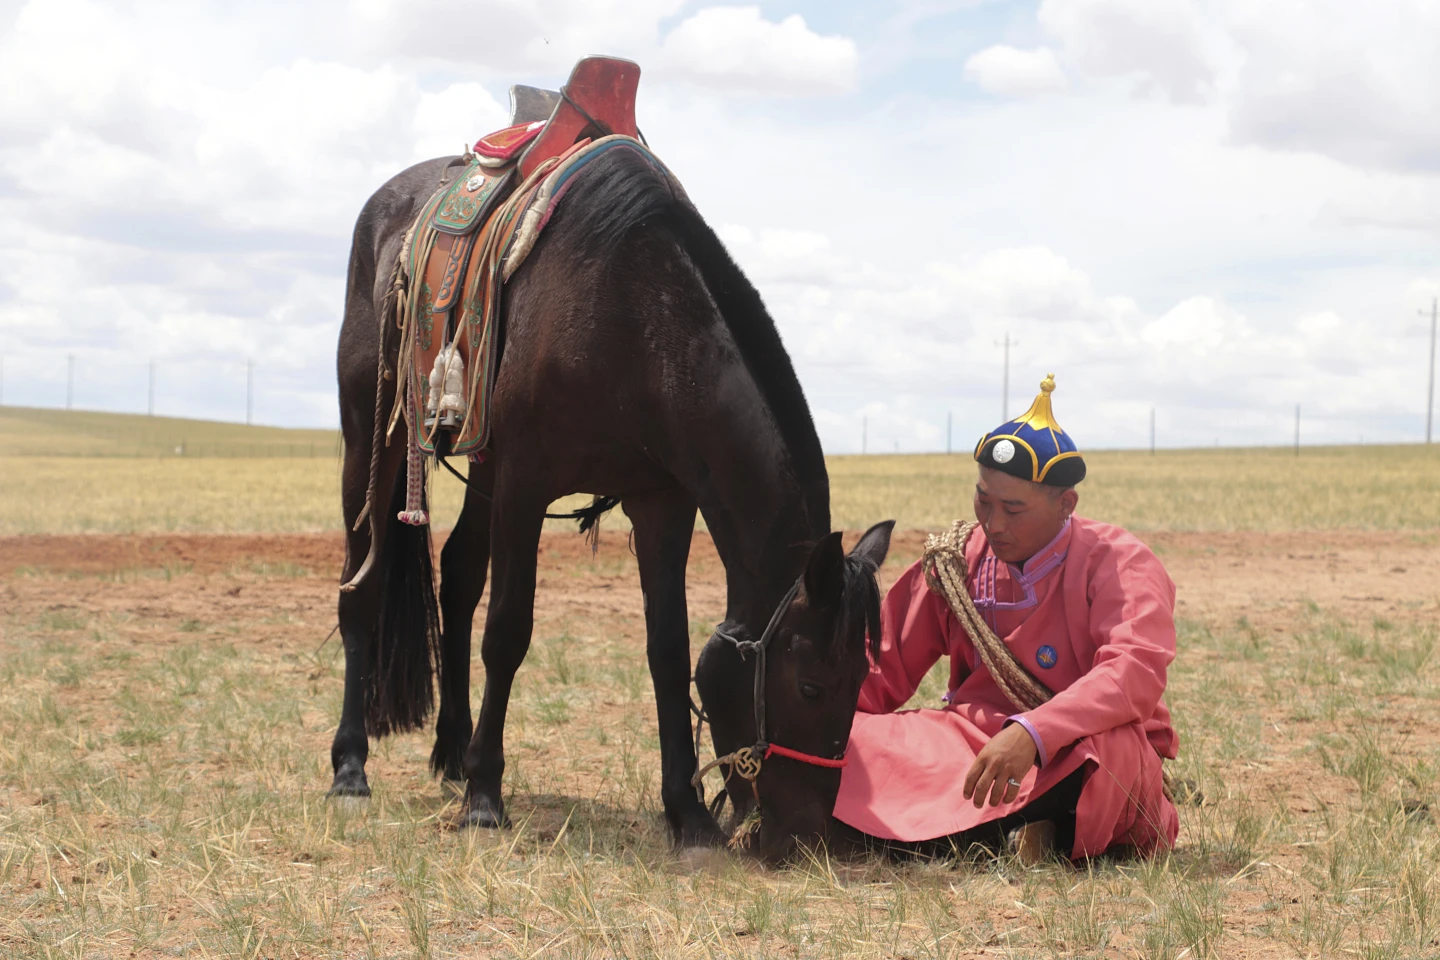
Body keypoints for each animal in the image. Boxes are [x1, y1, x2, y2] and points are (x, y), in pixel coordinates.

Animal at [331, 141, 892, 855]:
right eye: (813, 686)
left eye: (861, 685)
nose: (807, 836)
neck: (636, 319)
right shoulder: (524, 484)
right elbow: (508, 633)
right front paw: (486, 799)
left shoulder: (661, 501)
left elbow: (668, 650)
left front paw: (690, 815)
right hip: (371, 439)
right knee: (362, 587)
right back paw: (352, 766)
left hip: (480, 472)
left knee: (457, 577)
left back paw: (453, 752)